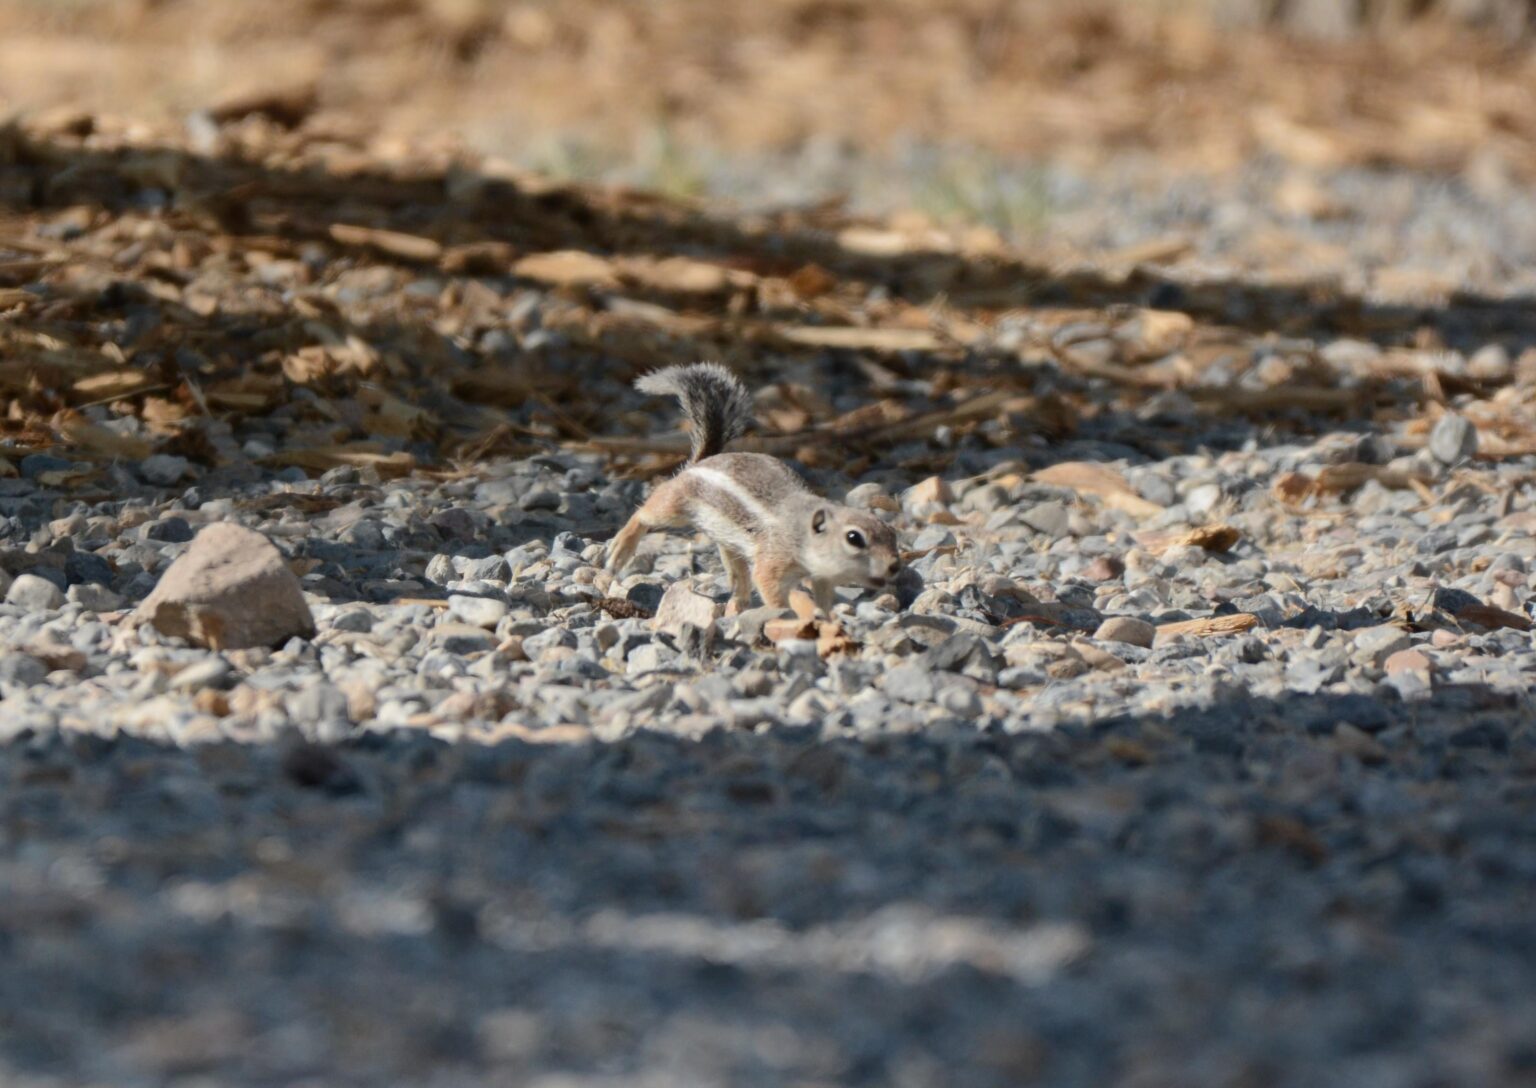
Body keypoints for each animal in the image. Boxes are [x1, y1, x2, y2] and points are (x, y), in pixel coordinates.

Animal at [606, 362, 902, 615]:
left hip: (726, 537)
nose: (895, 566)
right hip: (676, 505)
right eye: (854, 538)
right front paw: (787, 614)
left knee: (735, 568)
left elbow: (823, 599)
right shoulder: (772, 561)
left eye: (893, 534)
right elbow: (769, 588)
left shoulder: (822, 577)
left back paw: (736, 602)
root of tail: (703, 459)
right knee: (645, 514)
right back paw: (620, 549)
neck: (802, 531)